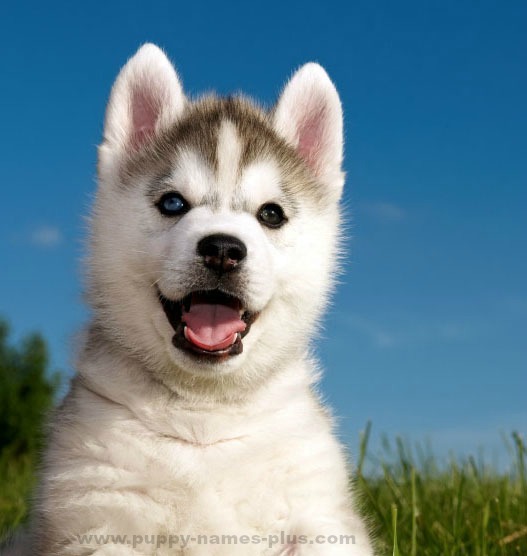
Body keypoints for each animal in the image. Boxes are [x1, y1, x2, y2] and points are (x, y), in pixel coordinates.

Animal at [24, 43, 374, 552]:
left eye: (271, 214)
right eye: (173, 203)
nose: (223, 249)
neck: (205, 414)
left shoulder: (320, 515)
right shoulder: (96, 518)